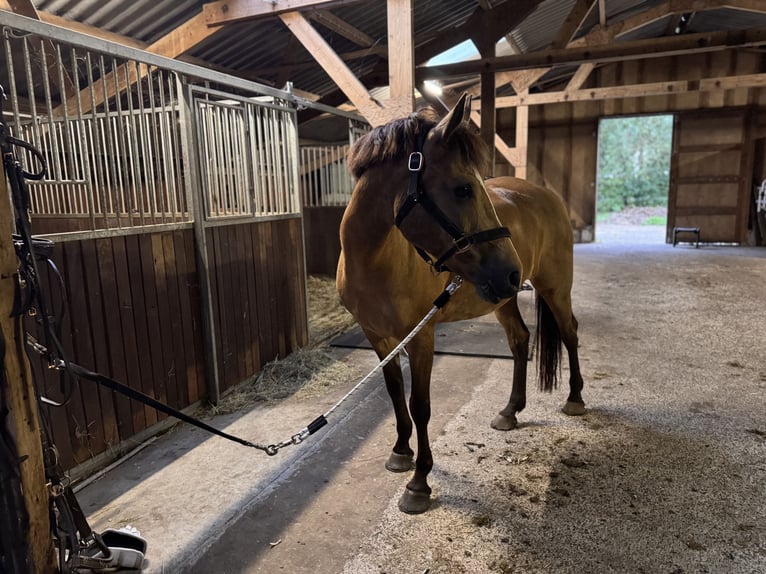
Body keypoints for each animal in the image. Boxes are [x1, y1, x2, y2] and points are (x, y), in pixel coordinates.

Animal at [336, 93, 585, 514]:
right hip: (501, 297)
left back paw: (575, 398)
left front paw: (419, 483)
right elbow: (394, 391)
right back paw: (510, 411)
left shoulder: (421, 338)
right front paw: (400, 452)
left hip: (554, 287)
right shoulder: (378, 338)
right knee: (520, 339)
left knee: (569, 332)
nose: (511, 270)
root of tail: (545, 194)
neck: (375, 261)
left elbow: (420, 404)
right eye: (464, 189)